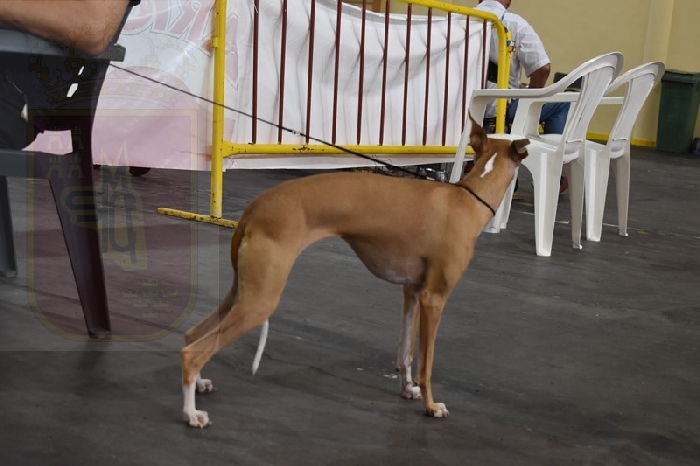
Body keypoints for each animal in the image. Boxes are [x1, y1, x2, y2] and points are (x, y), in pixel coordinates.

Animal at [180, 117, 529, 427]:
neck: (467, 199)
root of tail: (255, 206)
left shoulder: (413, 292)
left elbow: (405, 353)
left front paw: (407, 389)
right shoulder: (435, 298)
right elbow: (426, 364)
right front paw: (431, 406)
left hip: (243, 291)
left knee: (192, 335)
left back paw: (200, 384)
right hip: (260, 300)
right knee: (193, 352)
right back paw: (191, 414)